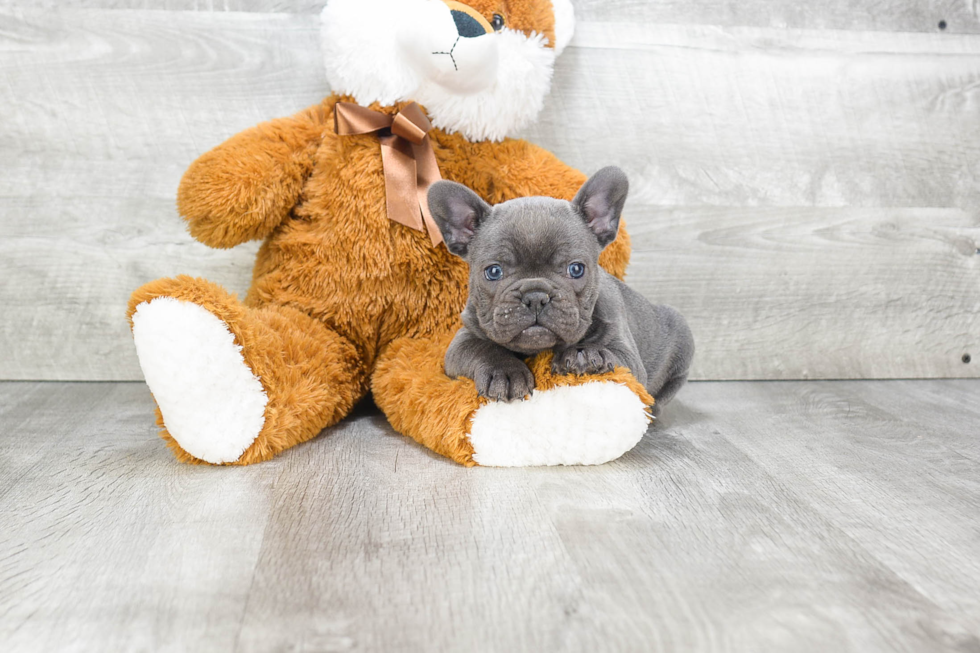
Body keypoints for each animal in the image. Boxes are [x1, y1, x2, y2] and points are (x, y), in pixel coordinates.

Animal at [428, 166, 696, 416]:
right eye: (493, 272)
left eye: (576, 269)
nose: (535, 296)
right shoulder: (461, 342)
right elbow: (483, 349)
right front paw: (504, 372)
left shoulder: (628, 357)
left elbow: (613, 354)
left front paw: (584, 354)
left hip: (682, 340)